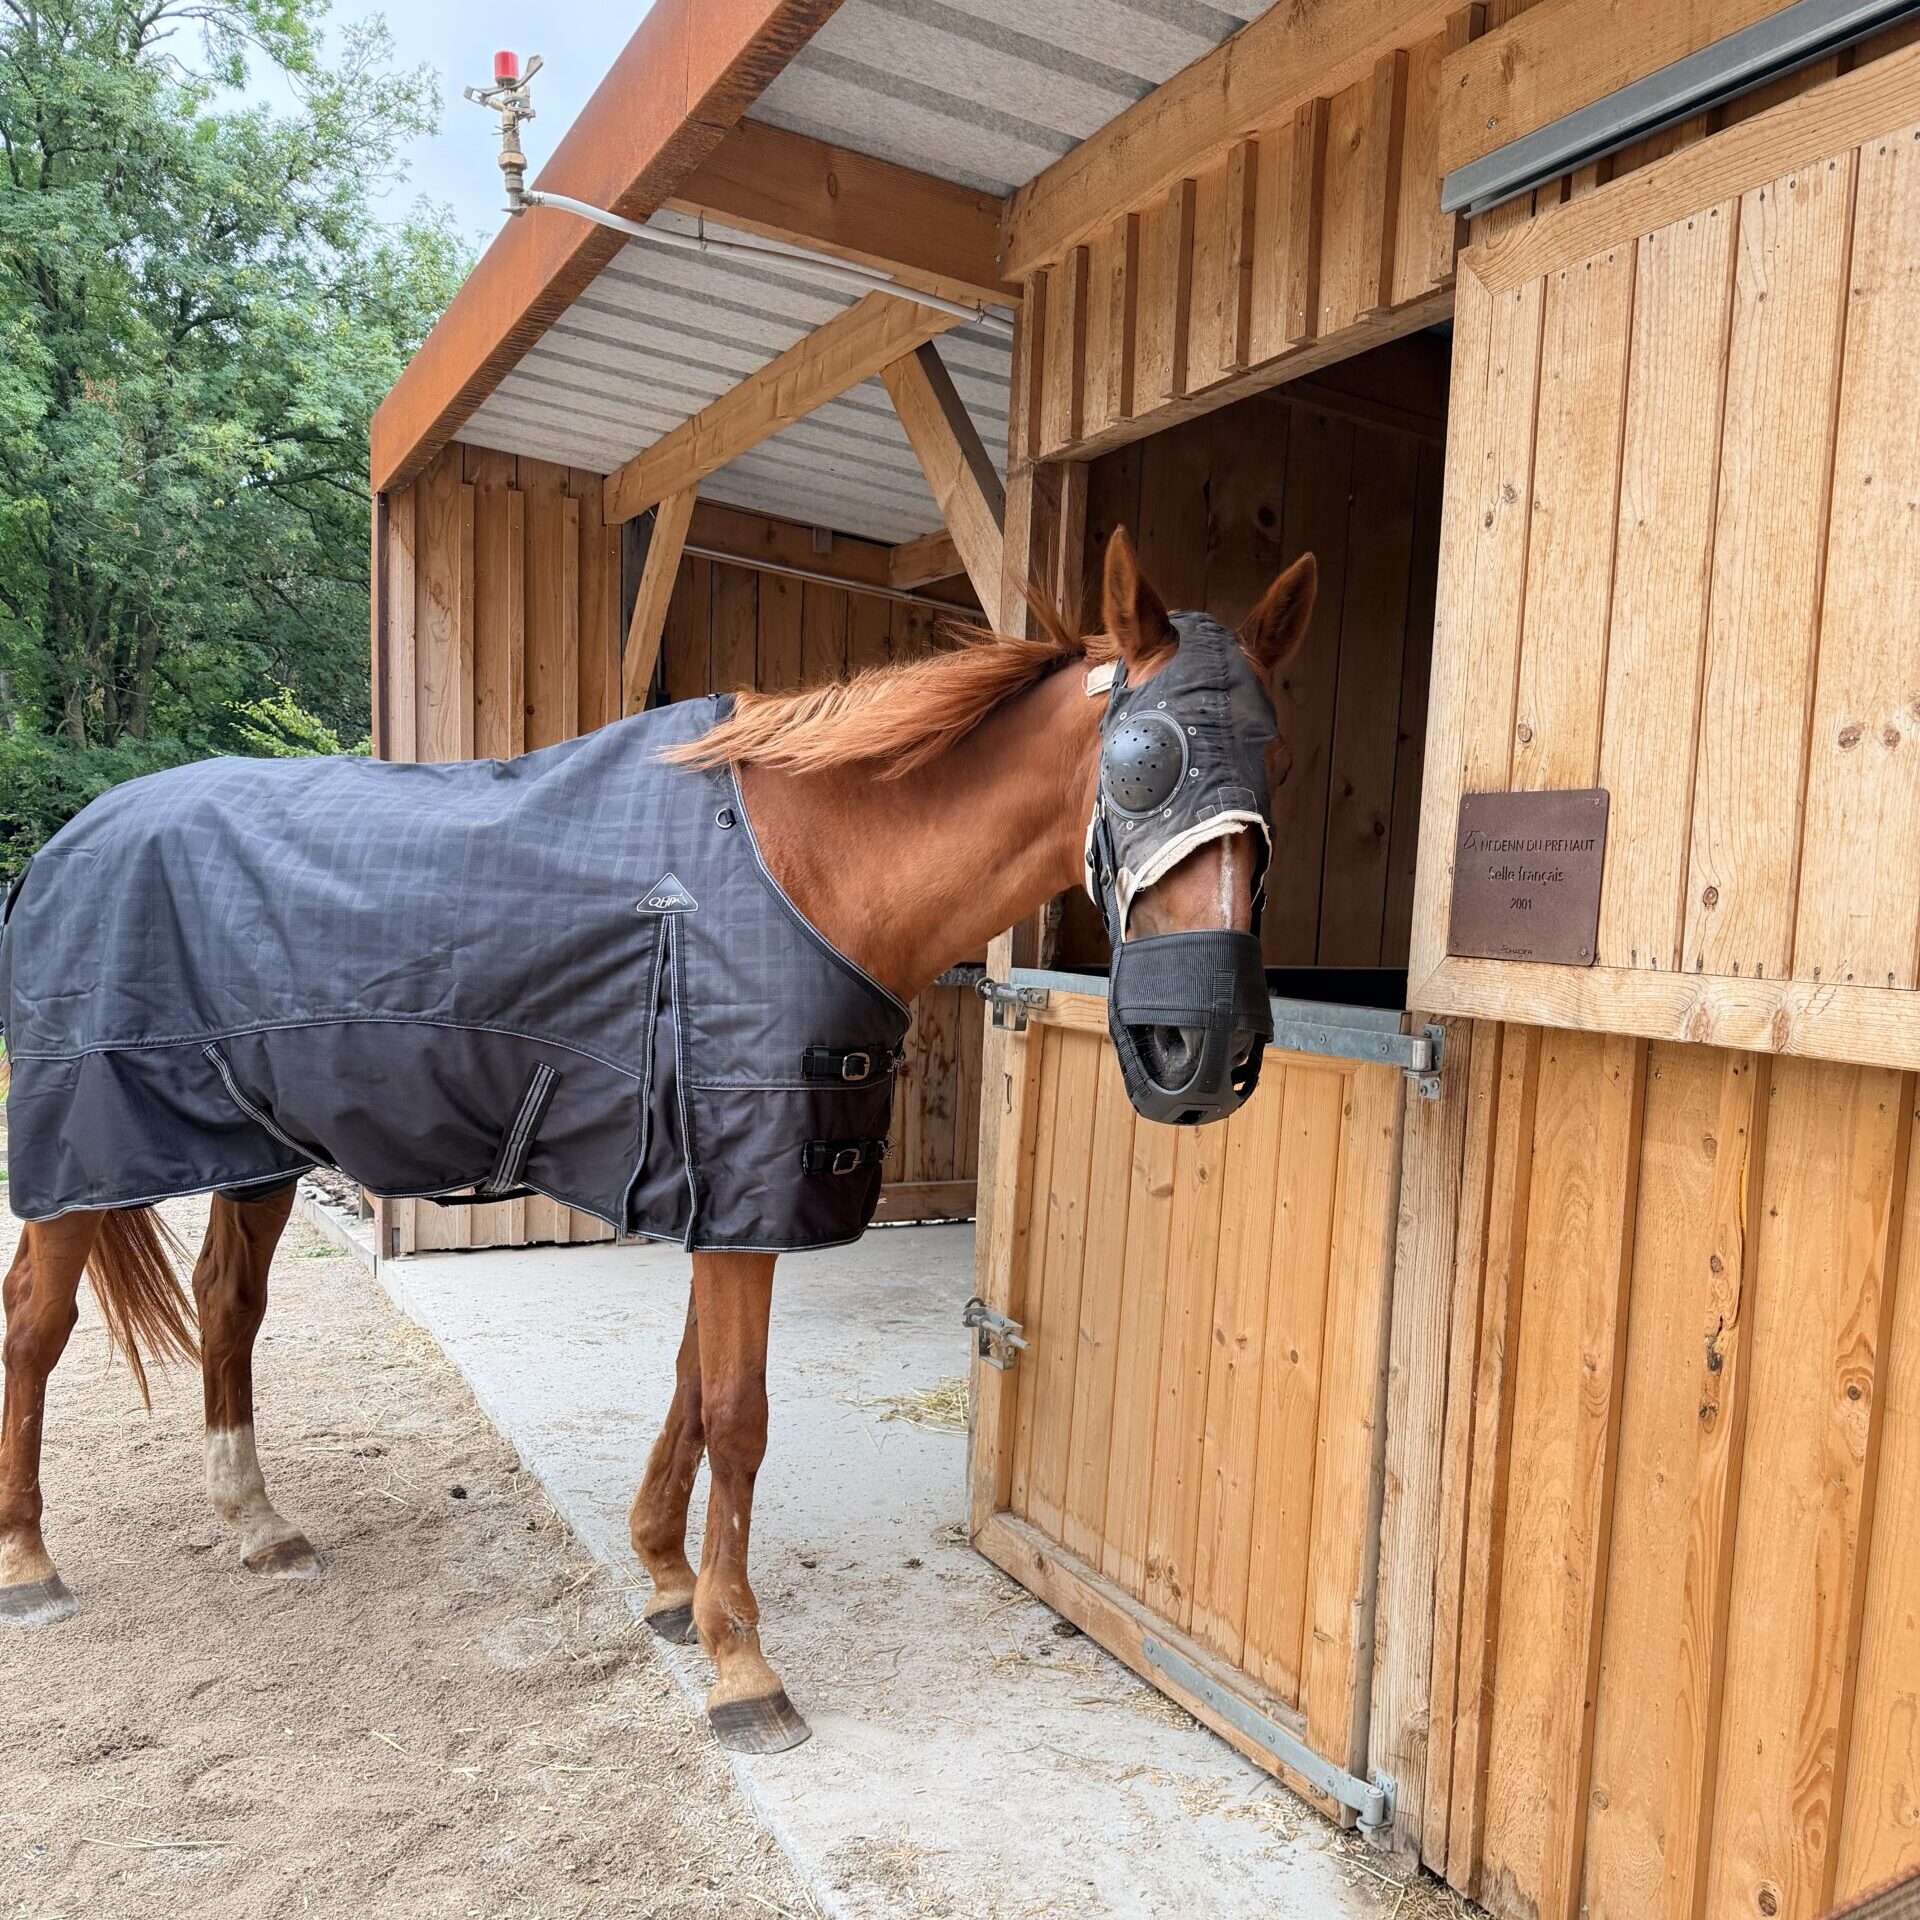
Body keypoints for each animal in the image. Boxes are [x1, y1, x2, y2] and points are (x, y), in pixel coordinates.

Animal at [0, 527, 1315, 1754]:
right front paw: (743, 1661)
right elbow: (737, 1410)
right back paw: (29, 1563)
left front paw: (671, 1584)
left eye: (1279, 758)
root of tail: (69, 845)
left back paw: (259, 1525)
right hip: (86, 1161)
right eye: (1142, 760)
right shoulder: (740, 1190)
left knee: (227, 1306)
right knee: (36, 1324)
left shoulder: (724, 1192)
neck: (803, 870)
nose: (1200, 1049)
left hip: (253, 1154)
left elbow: (689, 1384)